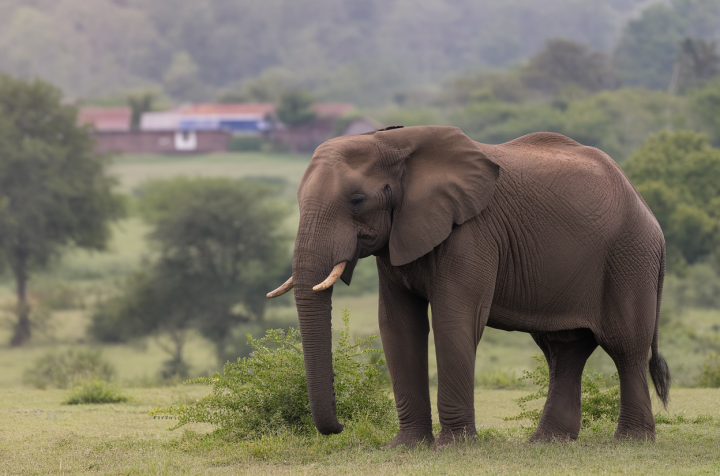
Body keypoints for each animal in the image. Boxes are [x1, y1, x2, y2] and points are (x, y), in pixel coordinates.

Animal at [267, 125, 670, 449]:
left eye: (356, 200)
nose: (340, 426)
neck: (393, 141)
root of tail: (648, 210)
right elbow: (398, 326)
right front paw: (405, 447)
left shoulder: (472, 231)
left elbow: (453, 319)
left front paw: (453, 447)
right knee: (564, 349)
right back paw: (546, 443)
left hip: (629, 257)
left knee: (625, 347)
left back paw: (631, 441)